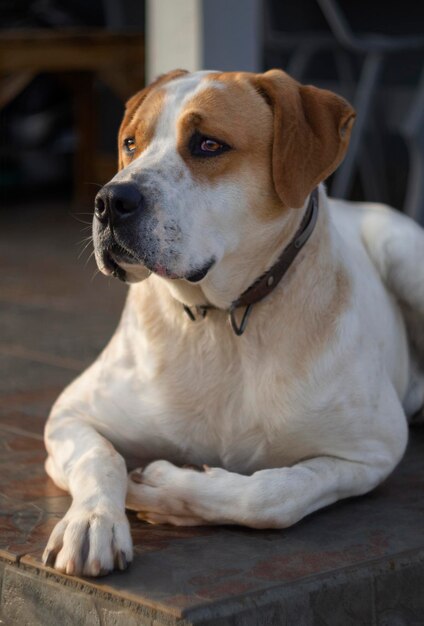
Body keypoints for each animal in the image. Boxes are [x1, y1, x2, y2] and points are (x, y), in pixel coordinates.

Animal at [42, 68, 424, 576]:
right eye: (129, 143)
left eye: (208, 144)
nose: (109, 200)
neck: (222, 321)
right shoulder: (71, 414)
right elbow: (99, 456)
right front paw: (93, 521)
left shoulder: (372, 448)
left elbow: (274, 492)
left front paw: (168, 488)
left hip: (404, 252)